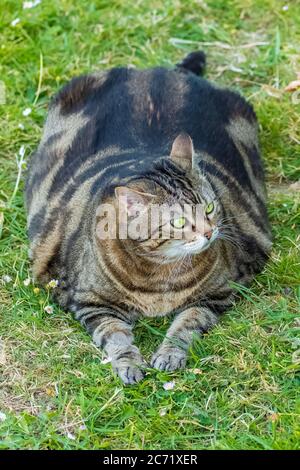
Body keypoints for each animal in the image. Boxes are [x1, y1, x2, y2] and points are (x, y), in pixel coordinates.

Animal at [24, 51, 272, 384]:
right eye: (179, 223)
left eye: (209, 208)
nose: (210, 233)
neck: (160, 274)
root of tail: (161, 72)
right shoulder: (89, 301)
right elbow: (115, 335)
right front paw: (128, 364)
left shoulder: (220, 292)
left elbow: (187, 323)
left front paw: (169, 354)